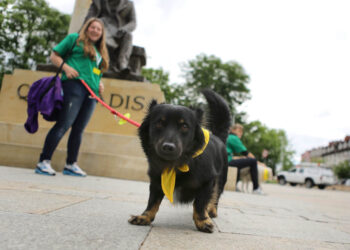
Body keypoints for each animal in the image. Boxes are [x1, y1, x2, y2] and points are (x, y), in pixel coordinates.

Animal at [127, 89, 231, 232]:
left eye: (184, 126)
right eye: (159, 123)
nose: (168, 147)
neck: (177, 163)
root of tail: (218, 136)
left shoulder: (208, 181)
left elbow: (200, 203)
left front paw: (202, 221)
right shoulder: (156, 181)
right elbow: (152, 201)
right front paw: (145, 217)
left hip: (220, 180)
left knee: (216, 195)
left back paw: (211, 210)